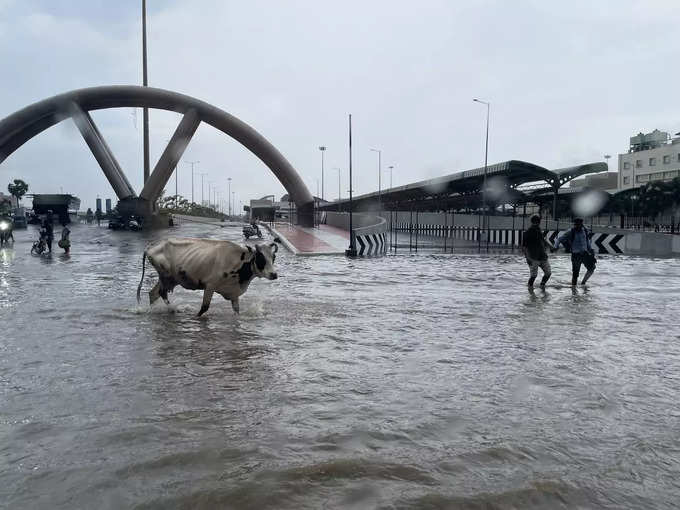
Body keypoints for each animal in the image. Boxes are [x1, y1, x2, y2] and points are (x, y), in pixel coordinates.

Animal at [137, 238, 278, 314]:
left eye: (273, 257)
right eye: (261, 258)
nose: (274, 274)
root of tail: (150, 247)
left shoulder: (234, 293)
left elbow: (236, 310)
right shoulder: (210, 286)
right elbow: (204, 308)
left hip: (170, 279)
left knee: (153, 294)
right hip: (165, 277)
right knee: (162, 293)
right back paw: (172, 310)